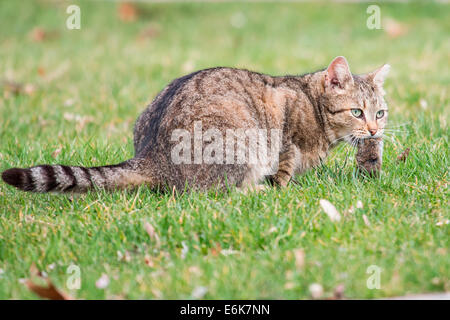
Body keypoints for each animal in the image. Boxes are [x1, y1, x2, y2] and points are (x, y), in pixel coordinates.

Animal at [0, 55, 388, 192]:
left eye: (380, 113)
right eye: (357, 112)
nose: (374, 130)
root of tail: (151, 156)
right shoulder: (285, 124)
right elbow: (285, 164)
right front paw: (283, 184)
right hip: (239, 141)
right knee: (218, 191)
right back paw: (259, 190)